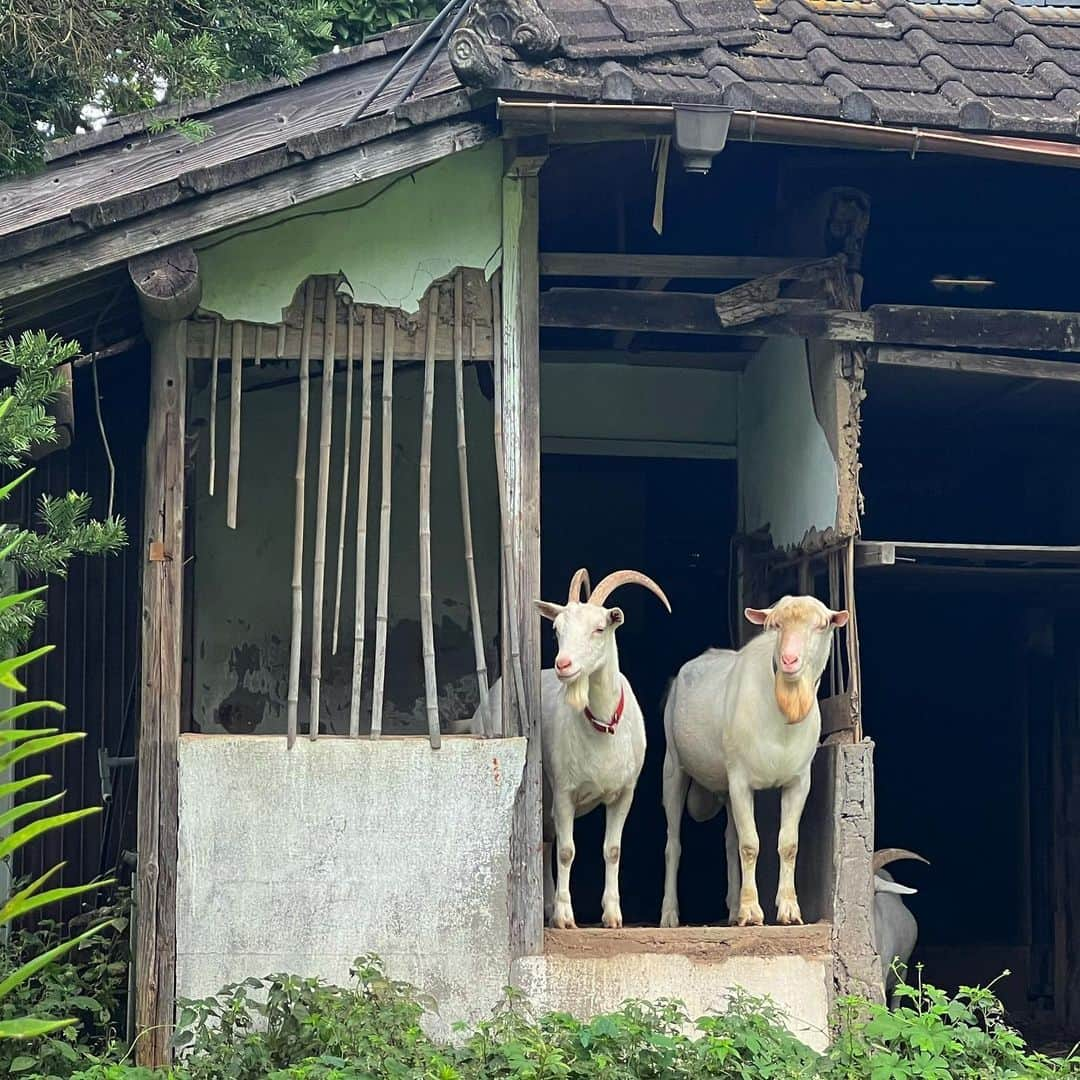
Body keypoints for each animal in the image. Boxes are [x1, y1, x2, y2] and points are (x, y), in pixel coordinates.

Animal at [660, 591, 846, 928]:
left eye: (821, 625)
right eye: (776, 625)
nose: (789, 660)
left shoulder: (799, 781)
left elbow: (788, 844)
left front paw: (788, 909)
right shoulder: (740, 779)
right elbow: (750, 845)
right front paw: (751, 912)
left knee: (729, 840)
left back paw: (733, 908)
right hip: (673, 764)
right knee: (673, 843)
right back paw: (670, 914)